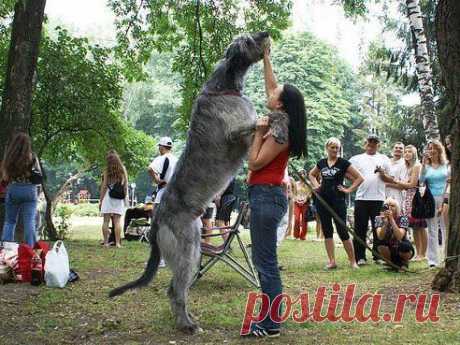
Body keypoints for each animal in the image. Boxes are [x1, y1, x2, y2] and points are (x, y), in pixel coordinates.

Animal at [110, 32, 272, 334]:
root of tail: (157, 219)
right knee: (175, 290)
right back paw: (187, 324)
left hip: (194, 248)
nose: (266, 33)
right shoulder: (236, 133)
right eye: (247, 39)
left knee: (178, 290)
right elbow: (258, 122)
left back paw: (185, 319)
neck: (224, 88)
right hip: (185, 251)